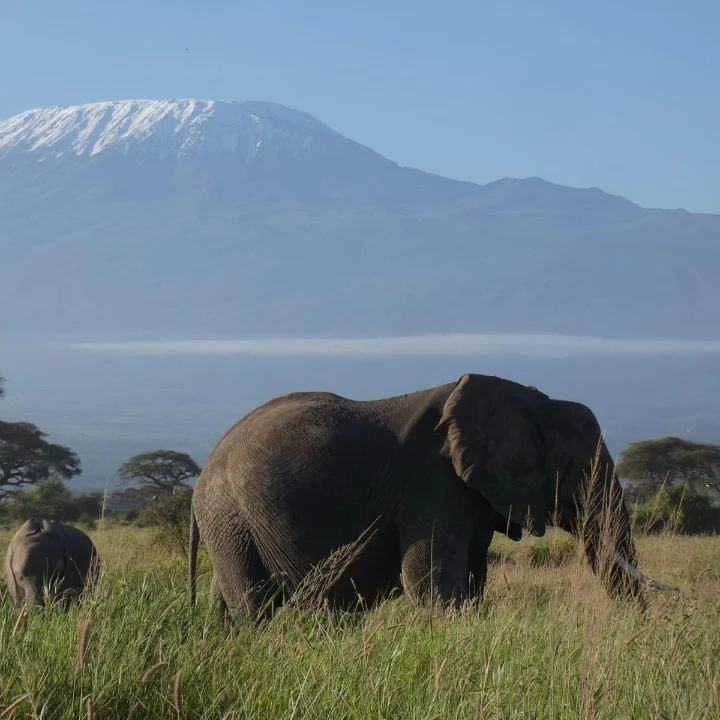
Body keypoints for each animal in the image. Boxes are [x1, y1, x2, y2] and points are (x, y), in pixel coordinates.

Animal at [190, 372, 676, 620]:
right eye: (577, 468)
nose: (637, 629)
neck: (530, 399)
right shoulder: (432, 480)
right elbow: (430, 581)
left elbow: (474, 577)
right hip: (231, 519)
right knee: (253, 603)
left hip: (229, 524)